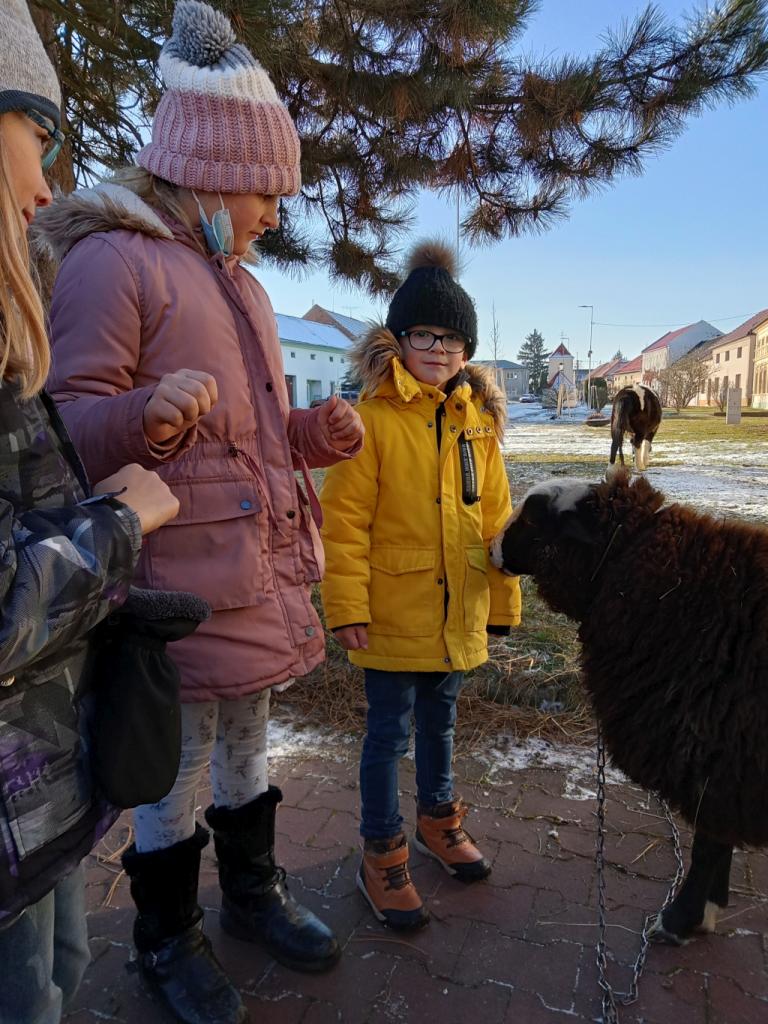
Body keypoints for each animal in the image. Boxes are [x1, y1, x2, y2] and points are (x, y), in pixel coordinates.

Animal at [490, 468, 768, 944]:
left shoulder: (718, 757)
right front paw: (708, 908)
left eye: (531, 517)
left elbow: (709, 845)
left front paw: (682, 920)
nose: (489, 547)